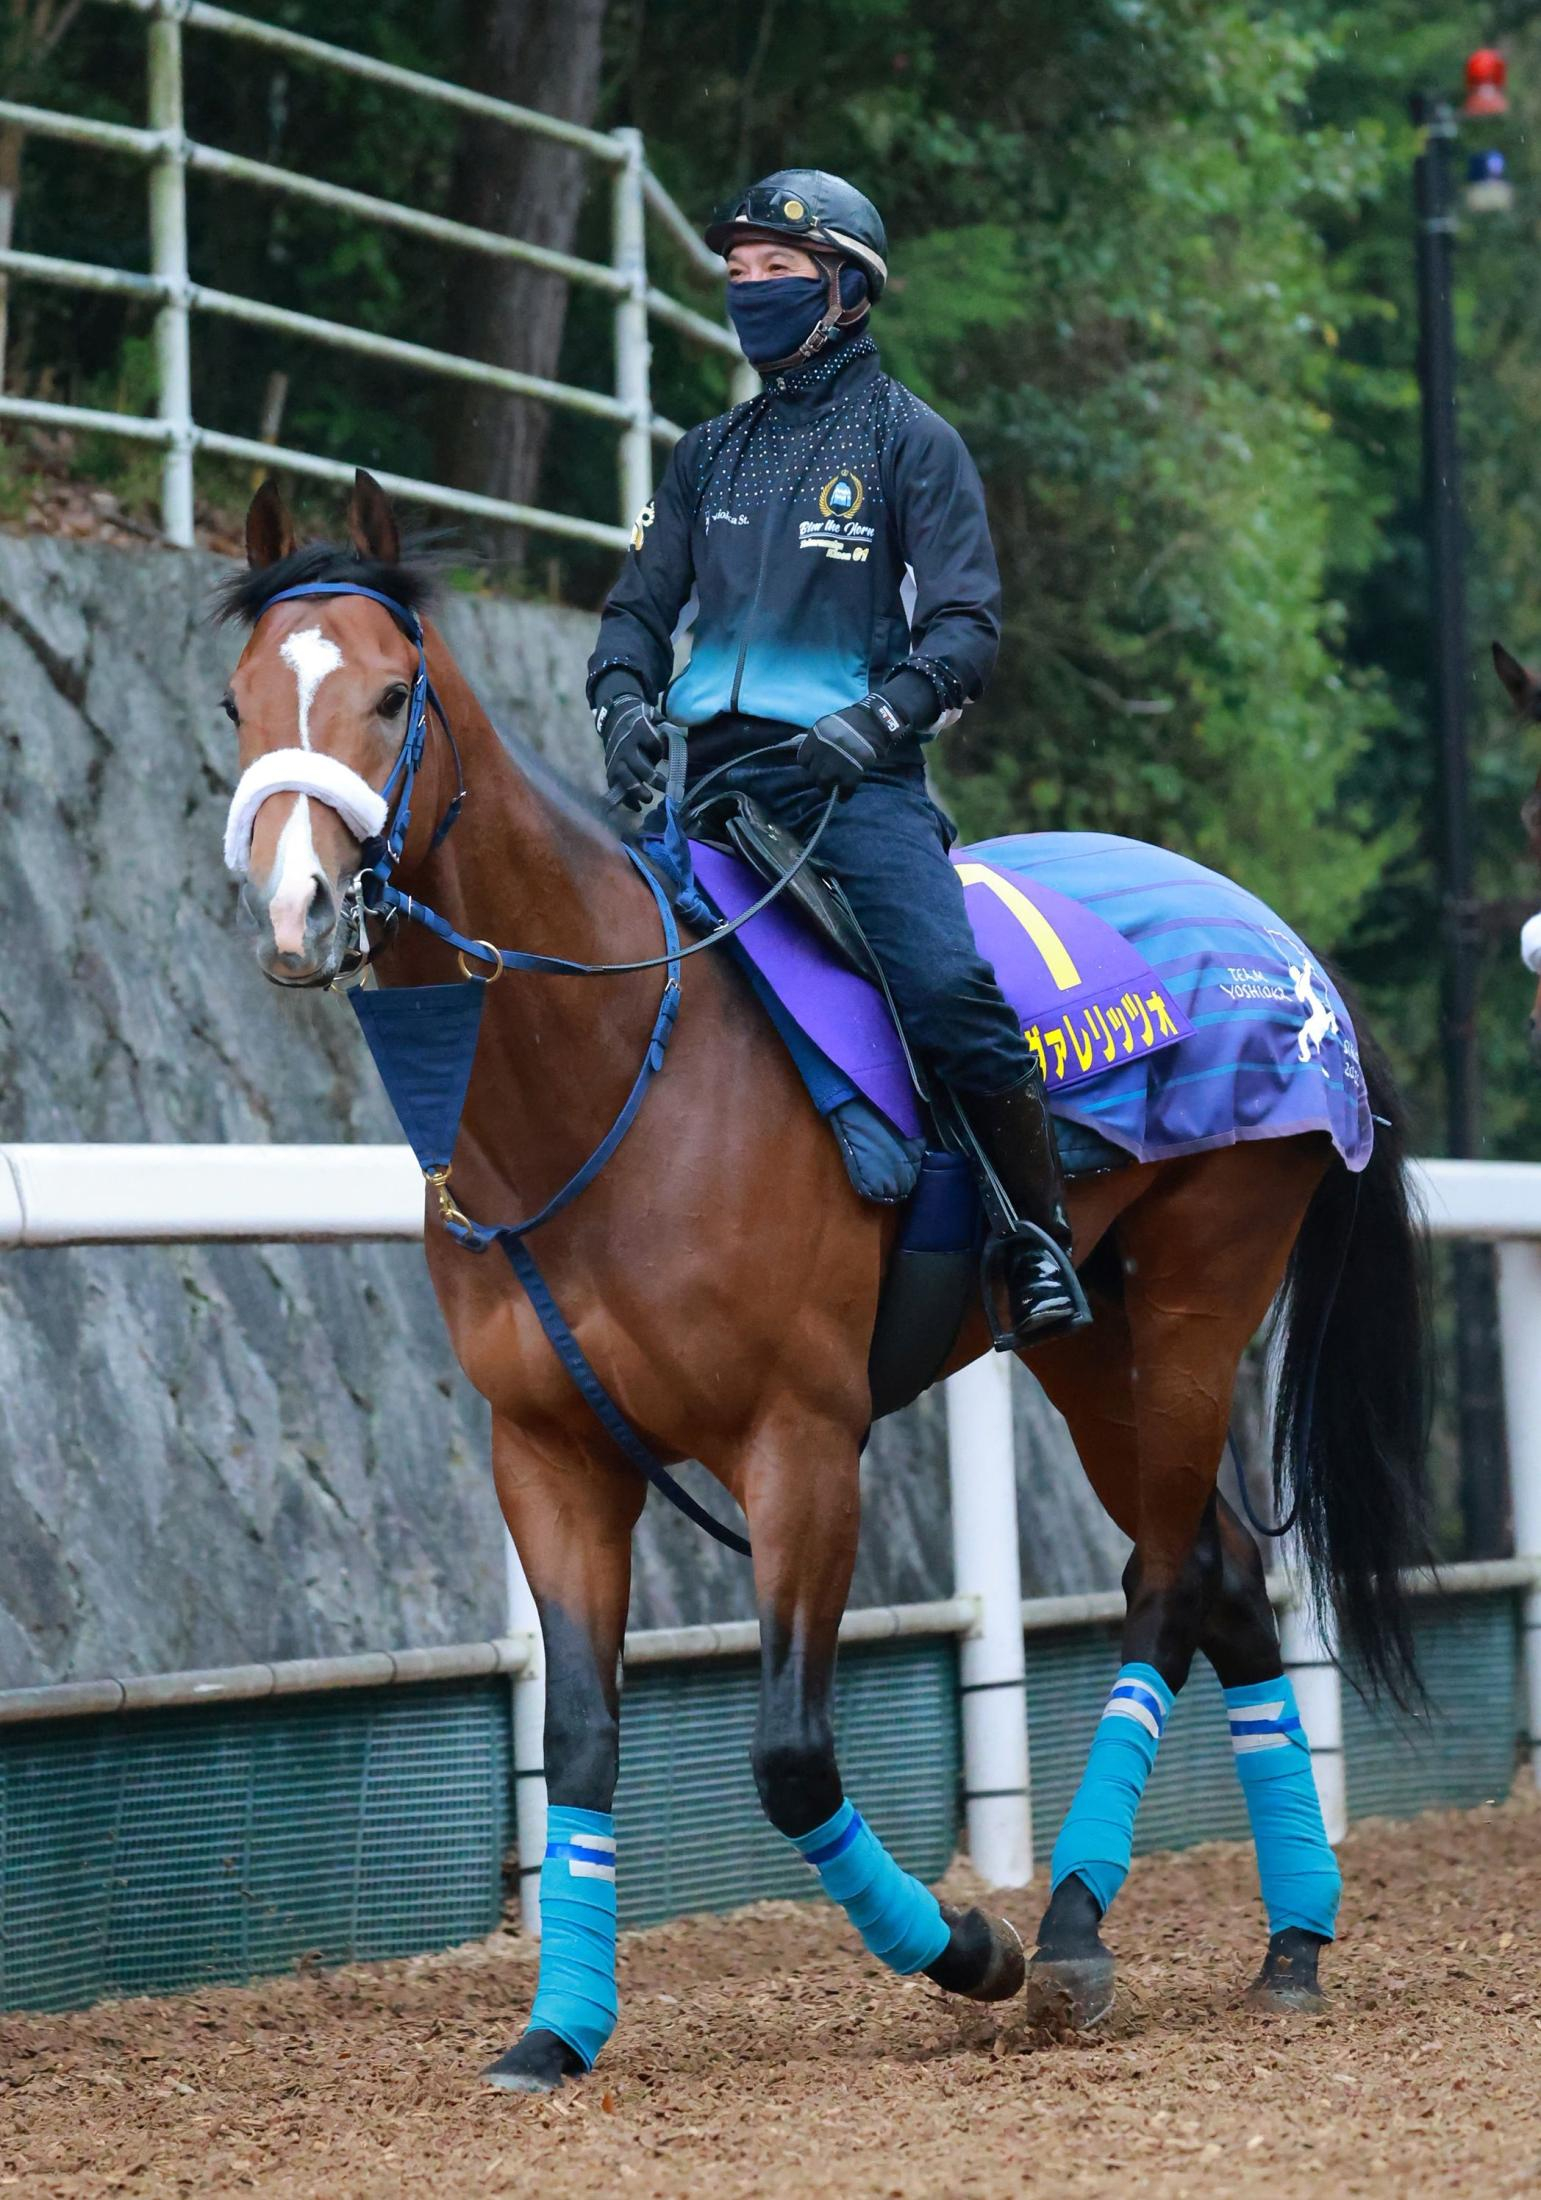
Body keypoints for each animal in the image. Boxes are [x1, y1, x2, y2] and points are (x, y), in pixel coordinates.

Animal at [218, 473, 1429, 2092]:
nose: (298, 905)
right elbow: (581, 1739)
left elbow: (790, 1758)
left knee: (1171, 1579)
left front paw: (967, 1949)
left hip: (1199, 1288)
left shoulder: (800, 1442)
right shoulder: (549, 1452)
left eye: (393, 693)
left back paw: (1070, 1932)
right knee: (1226, 1573)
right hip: (1080, 1338)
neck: (609, 1070)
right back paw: (1288, 1936)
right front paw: (557, 2028)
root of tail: (1287, 952)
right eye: (237, 701)